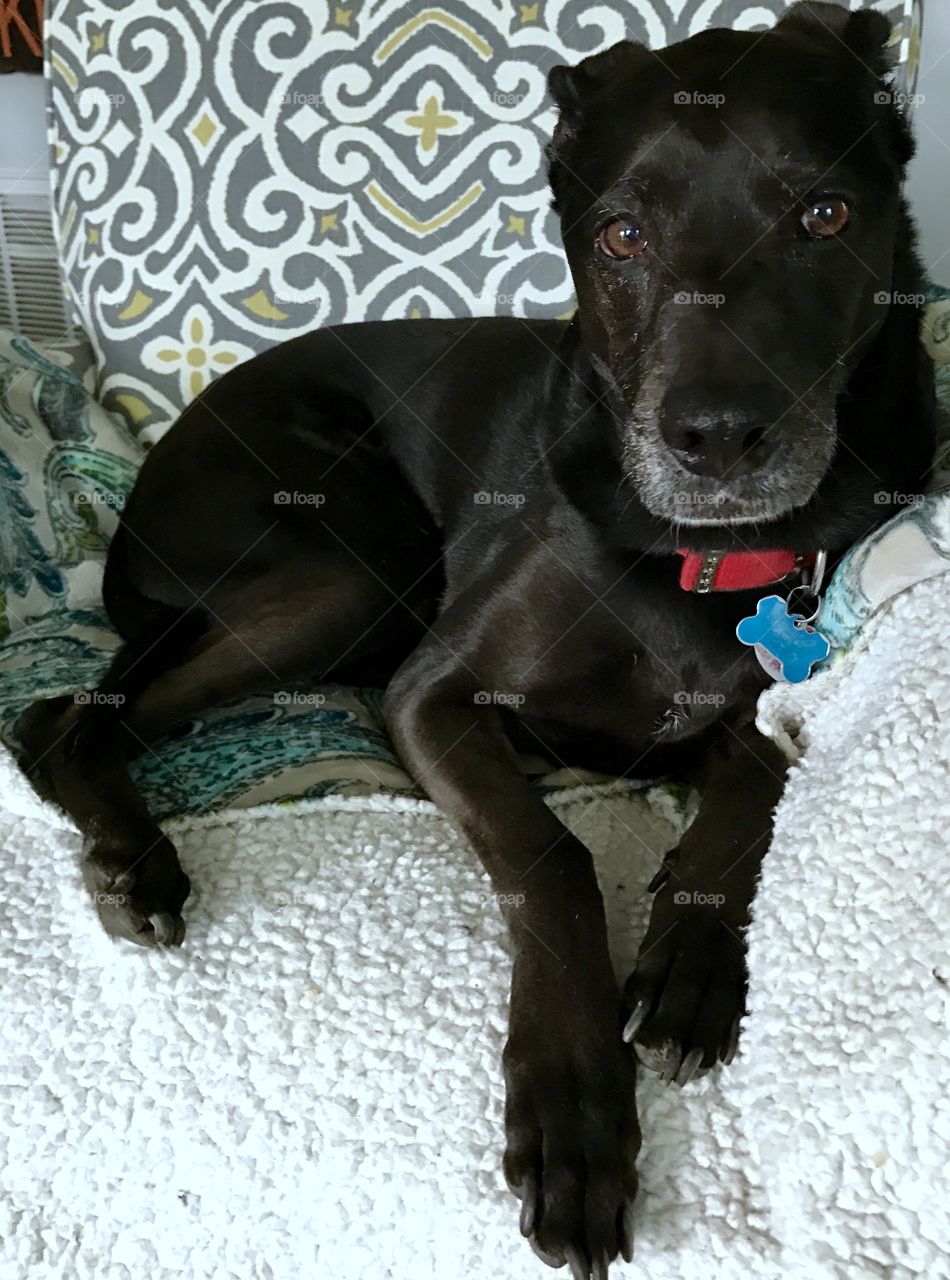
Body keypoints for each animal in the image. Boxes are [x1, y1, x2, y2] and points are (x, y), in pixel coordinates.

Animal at [16, 5, 937, 1274]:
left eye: (825, 215)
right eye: (618, 236)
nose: (714, 439)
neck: (702, 555)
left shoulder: (734, 706)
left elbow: (753, 770)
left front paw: (691, 958)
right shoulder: (431, 692)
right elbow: (548, 856)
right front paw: (572, 1104)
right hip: (350, 570)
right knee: (63, 718)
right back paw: (133, 860)